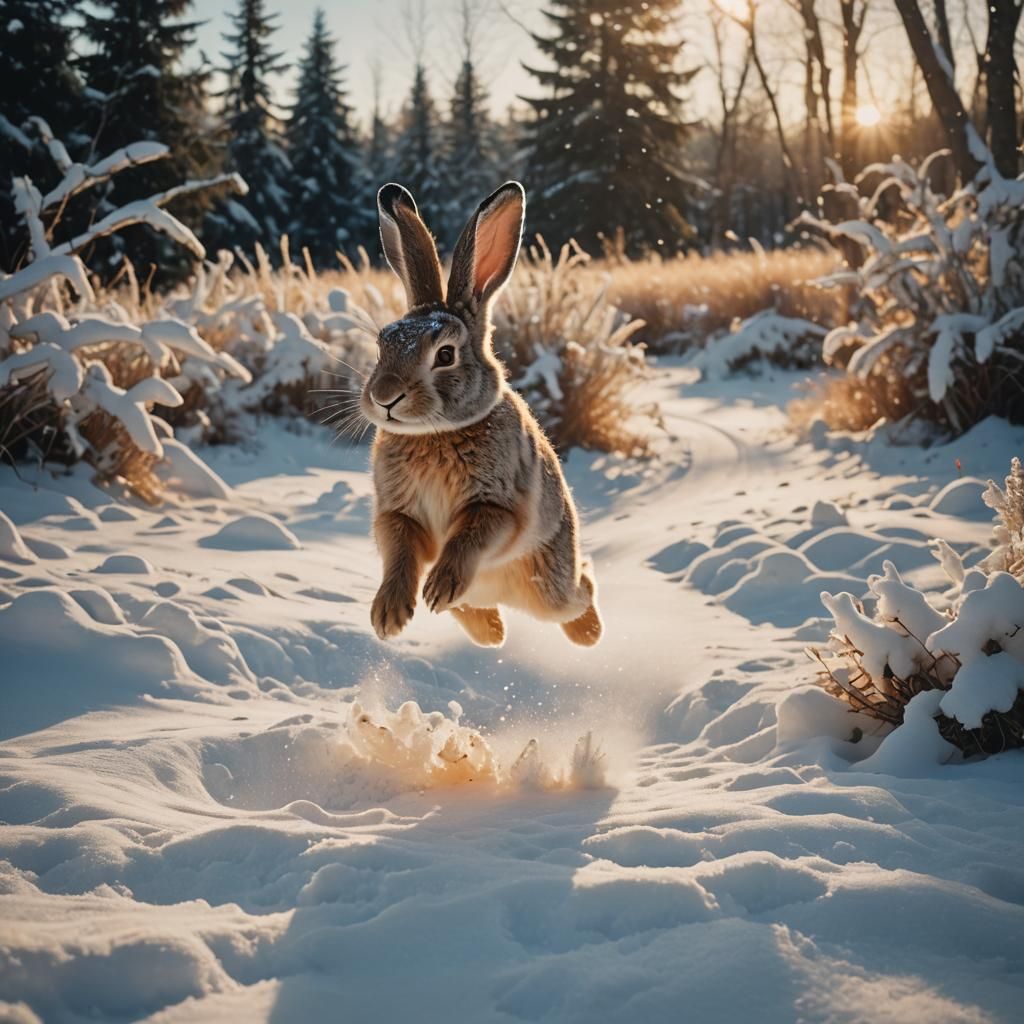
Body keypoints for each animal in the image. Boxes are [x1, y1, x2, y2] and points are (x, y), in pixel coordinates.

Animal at [360, 180, 602, 650]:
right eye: (382, 344)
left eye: (445, 355)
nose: (384, 397)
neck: (434, 433)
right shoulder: (396, 513)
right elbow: (399, 552)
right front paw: (388, 616)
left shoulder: (498, 506)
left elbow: (471, 537)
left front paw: (438, 585)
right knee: (469, 607)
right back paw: (491, 634)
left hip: (551, 585)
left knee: (582, 585)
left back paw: (588, 633)